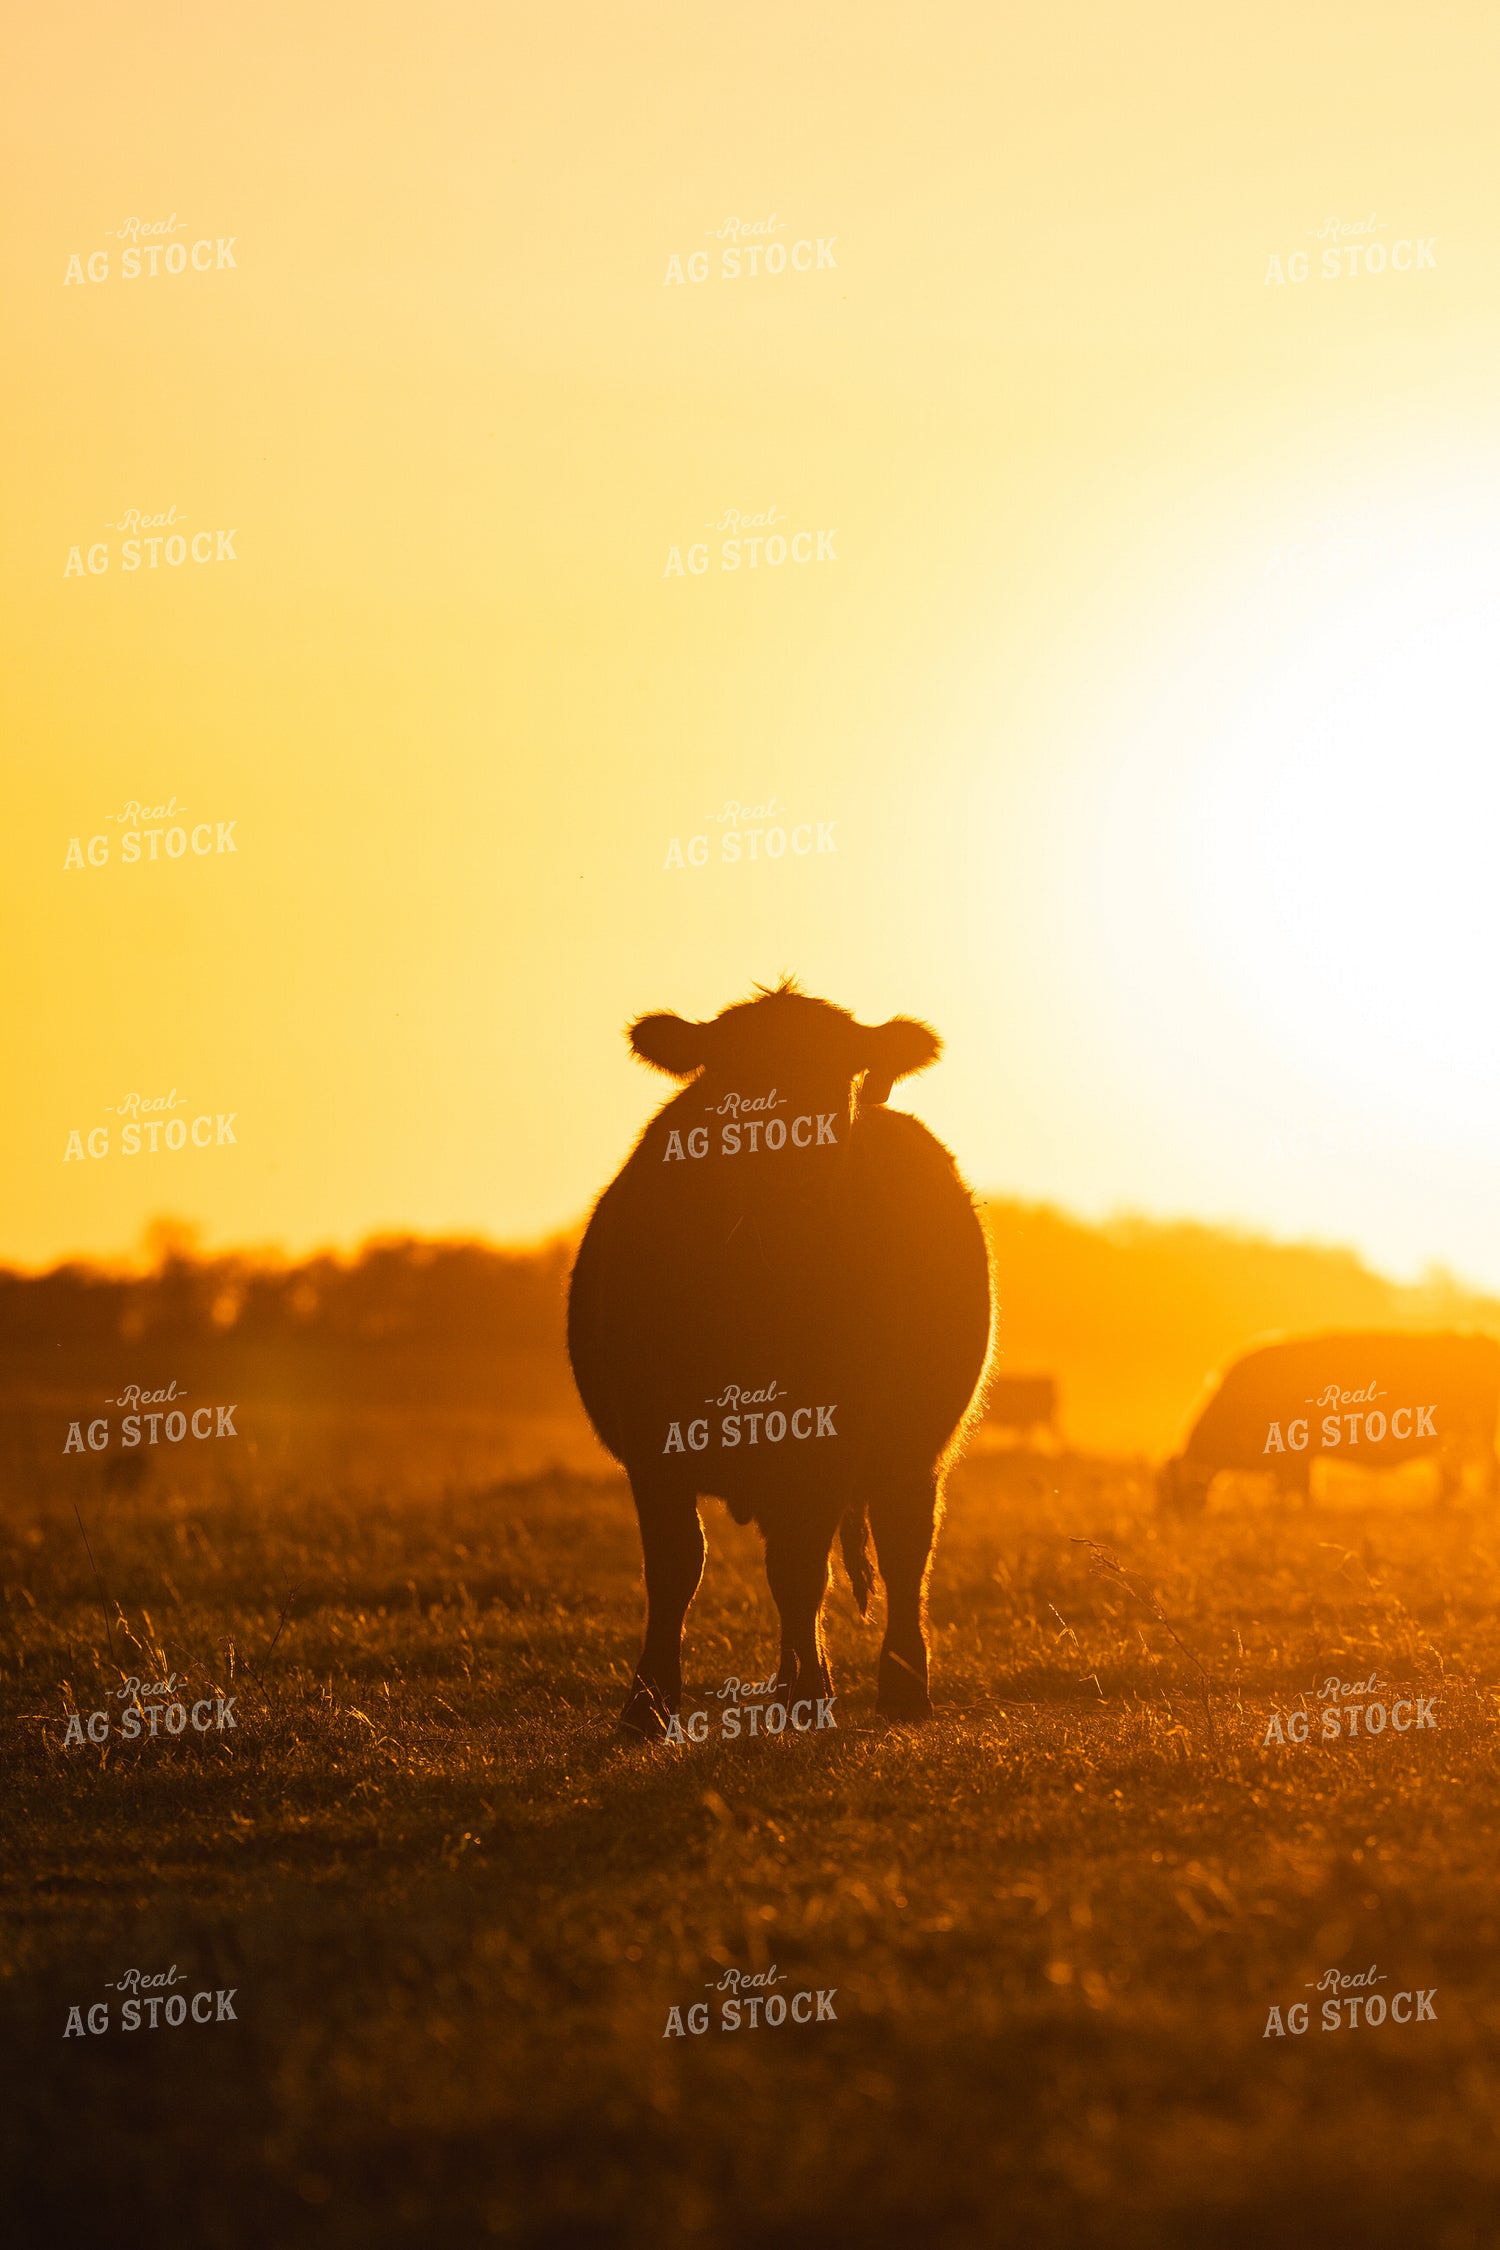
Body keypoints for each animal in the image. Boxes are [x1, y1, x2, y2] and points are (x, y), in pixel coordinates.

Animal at [567, 980, 994, 1735]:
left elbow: (801, 1570)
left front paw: (810, 1696)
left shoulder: (829, 1440)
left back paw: (902, 1687)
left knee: (904, 1549)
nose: (790, 1177)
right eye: (730, 1081)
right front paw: (646, 1703)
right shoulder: (653, 1442)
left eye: (840, 1076)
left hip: (917, 1450)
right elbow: (675, 1567)